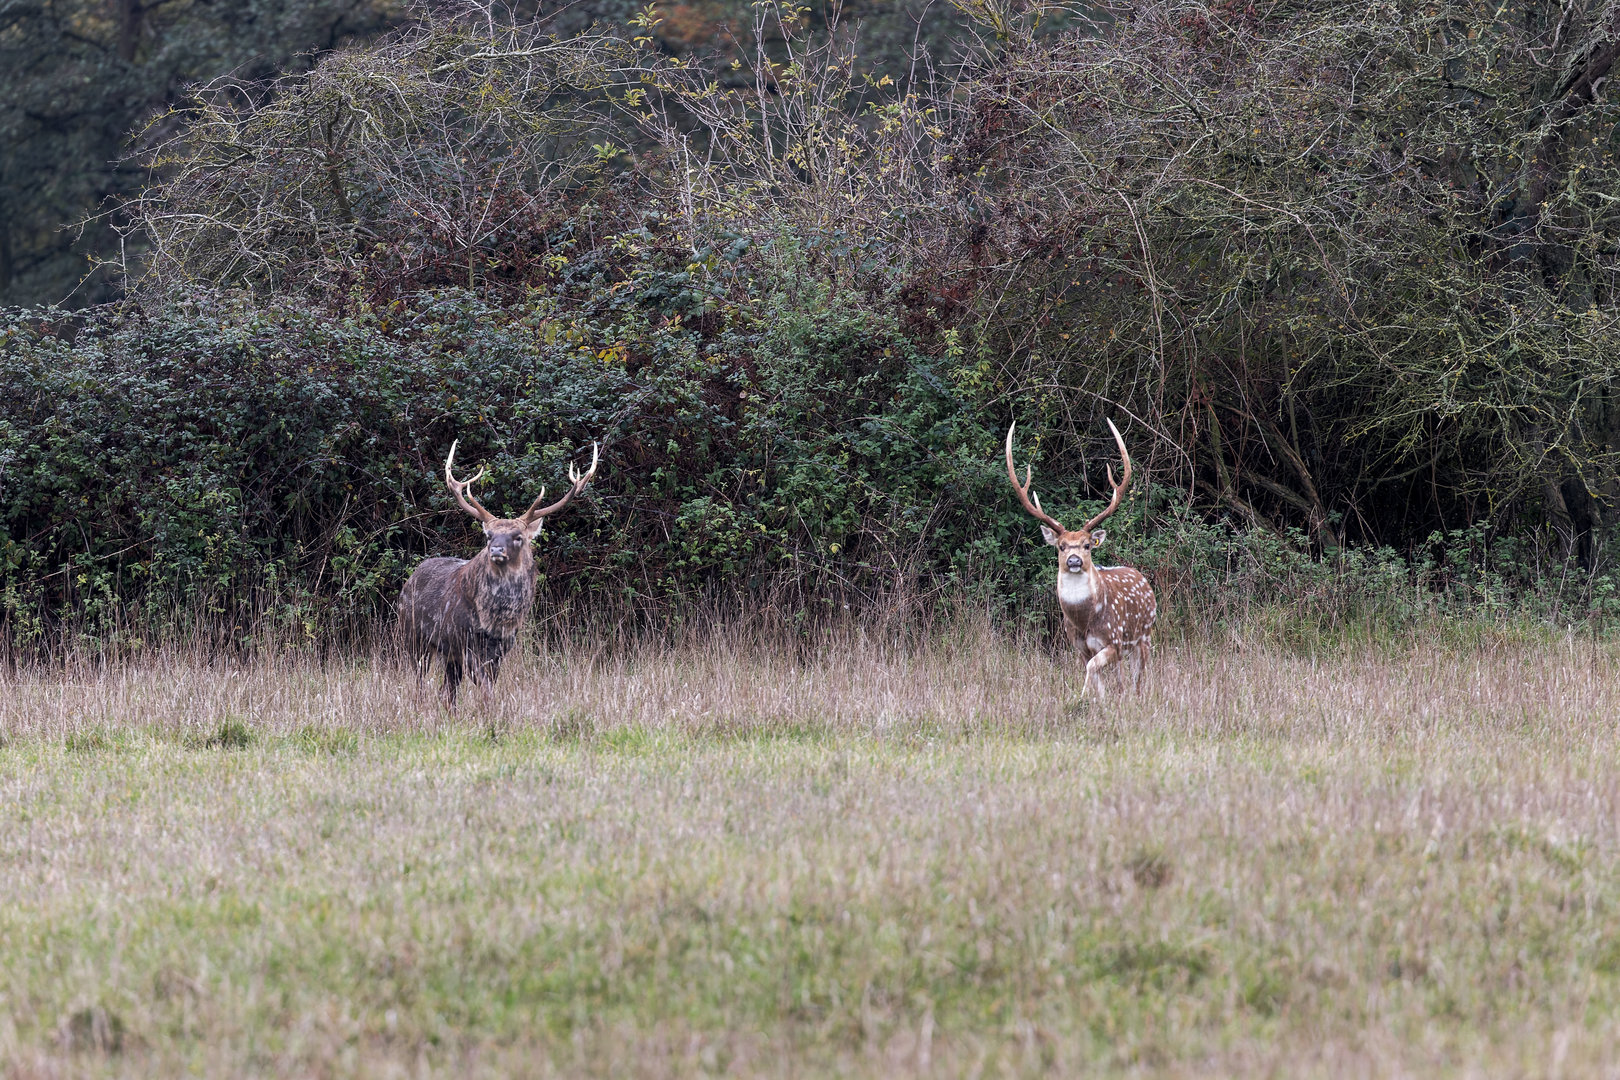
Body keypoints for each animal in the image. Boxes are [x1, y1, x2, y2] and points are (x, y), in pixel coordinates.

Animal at [398, 438, 600, 710]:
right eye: (488, 535)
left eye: (518, 536)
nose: (496, 550)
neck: (497, 621)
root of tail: (409, 580)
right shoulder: (468, 642)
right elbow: (485, 687)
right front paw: (490, 712)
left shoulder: (502, 648)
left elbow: (487, 685)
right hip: (413, 637)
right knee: (420, 682)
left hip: (447, 652)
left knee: (447, 691)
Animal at [1005, 418, 1156, 699]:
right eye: (1061, 546)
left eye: (1087, 545)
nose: (1074, 560)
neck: (1085, 620)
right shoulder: (1078, 646)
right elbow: (1094, 675)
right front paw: (1095, 699)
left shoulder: (1113, 640)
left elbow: (1096, 671)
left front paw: (1082, 695)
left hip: (1144, 635)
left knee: (1137, 679)